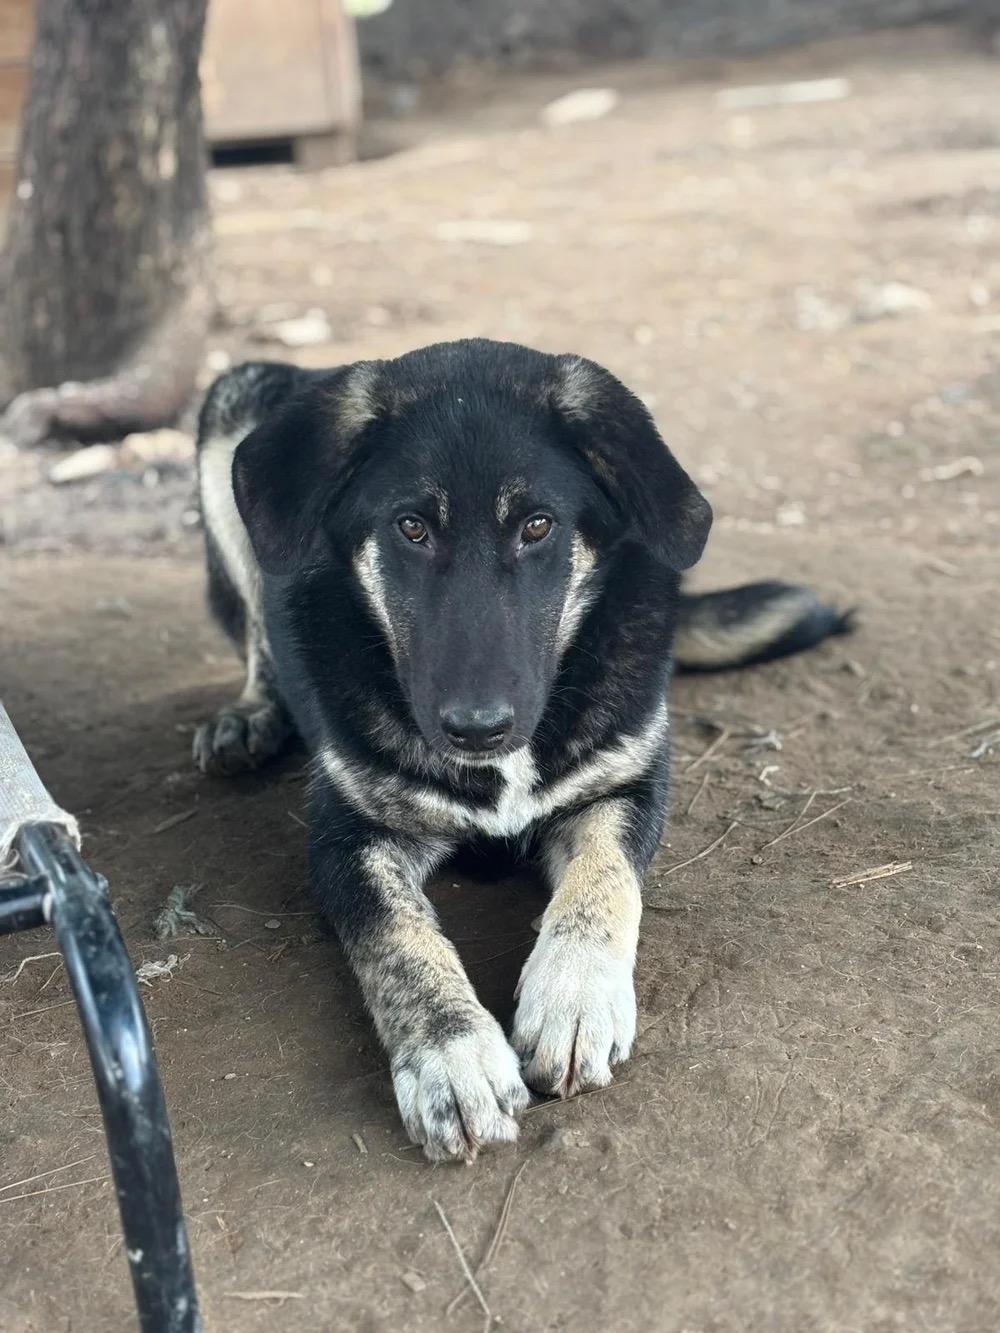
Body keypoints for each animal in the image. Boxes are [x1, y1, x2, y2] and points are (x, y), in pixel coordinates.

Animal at [193, 338, 851, 1162]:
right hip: (228, 416)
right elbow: (397, 939)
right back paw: (250, 714)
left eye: (538, 525)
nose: (478, 729)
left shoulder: (625, 786)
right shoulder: (347, 838)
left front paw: (574, 998)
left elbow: (605, 883)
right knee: (255, 624)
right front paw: (451, 1056)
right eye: (411, 528)